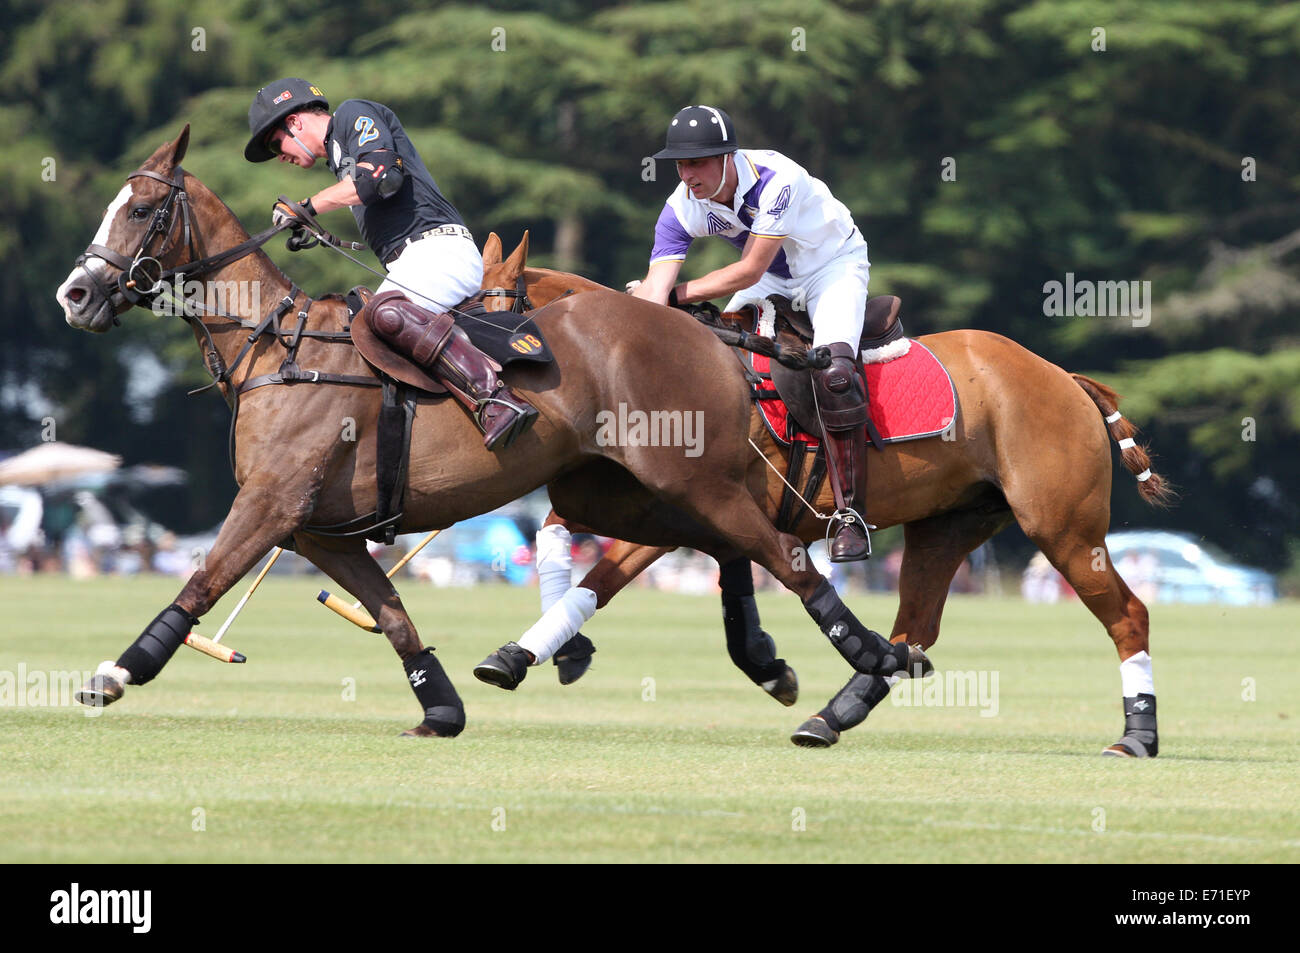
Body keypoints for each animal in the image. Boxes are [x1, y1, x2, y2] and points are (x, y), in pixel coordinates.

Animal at [55, 126, 925, 738]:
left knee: (787, 556)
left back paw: (863, 669)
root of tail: (707, 331)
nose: (75, 295)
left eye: (141, 209)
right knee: (718, 546)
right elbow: (394, 614)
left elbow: (200, 581)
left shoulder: (272, 504)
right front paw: (440, 708)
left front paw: (115, 672)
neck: (277, 345)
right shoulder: (320, 529)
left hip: (692, 473)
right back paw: (781, 664)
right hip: (624, 489)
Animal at [475, 232, 1170, 759]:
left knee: (1128, 616)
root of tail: (1064, 378)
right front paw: (520, 655)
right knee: (915, 631)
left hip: (1063, 527)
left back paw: (1136, 735)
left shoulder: (699, 502)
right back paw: (832, 715)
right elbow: (585, 566)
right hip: (948, 524)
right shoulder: (675, 509)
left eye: (488, 313)